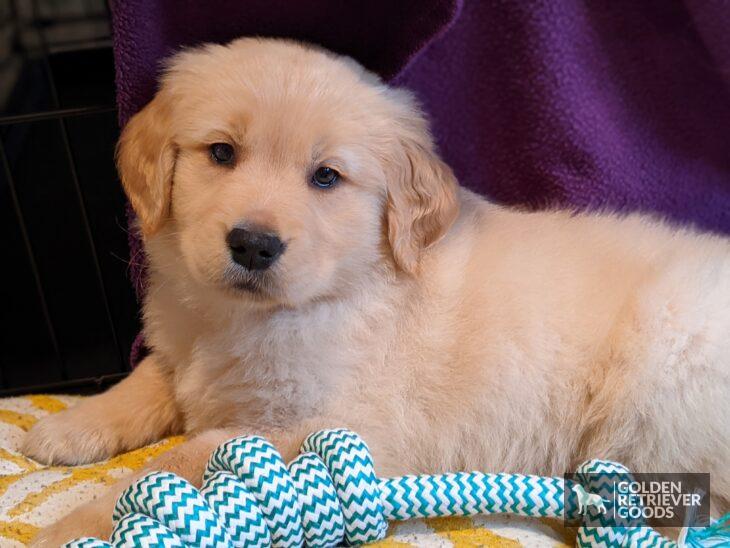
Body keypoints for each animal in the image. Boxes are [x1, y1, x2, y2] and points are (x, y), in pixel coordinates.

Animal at [22, 37, 728, 544]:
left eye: (326, 178)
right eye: (220, 153)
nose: (252, 245)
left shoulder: (324, 423)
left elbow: (175, 463)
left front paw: (73, 526)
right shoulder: (185, 348)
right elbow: (149, 379)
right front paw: (66, 429)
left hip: (661, 378)